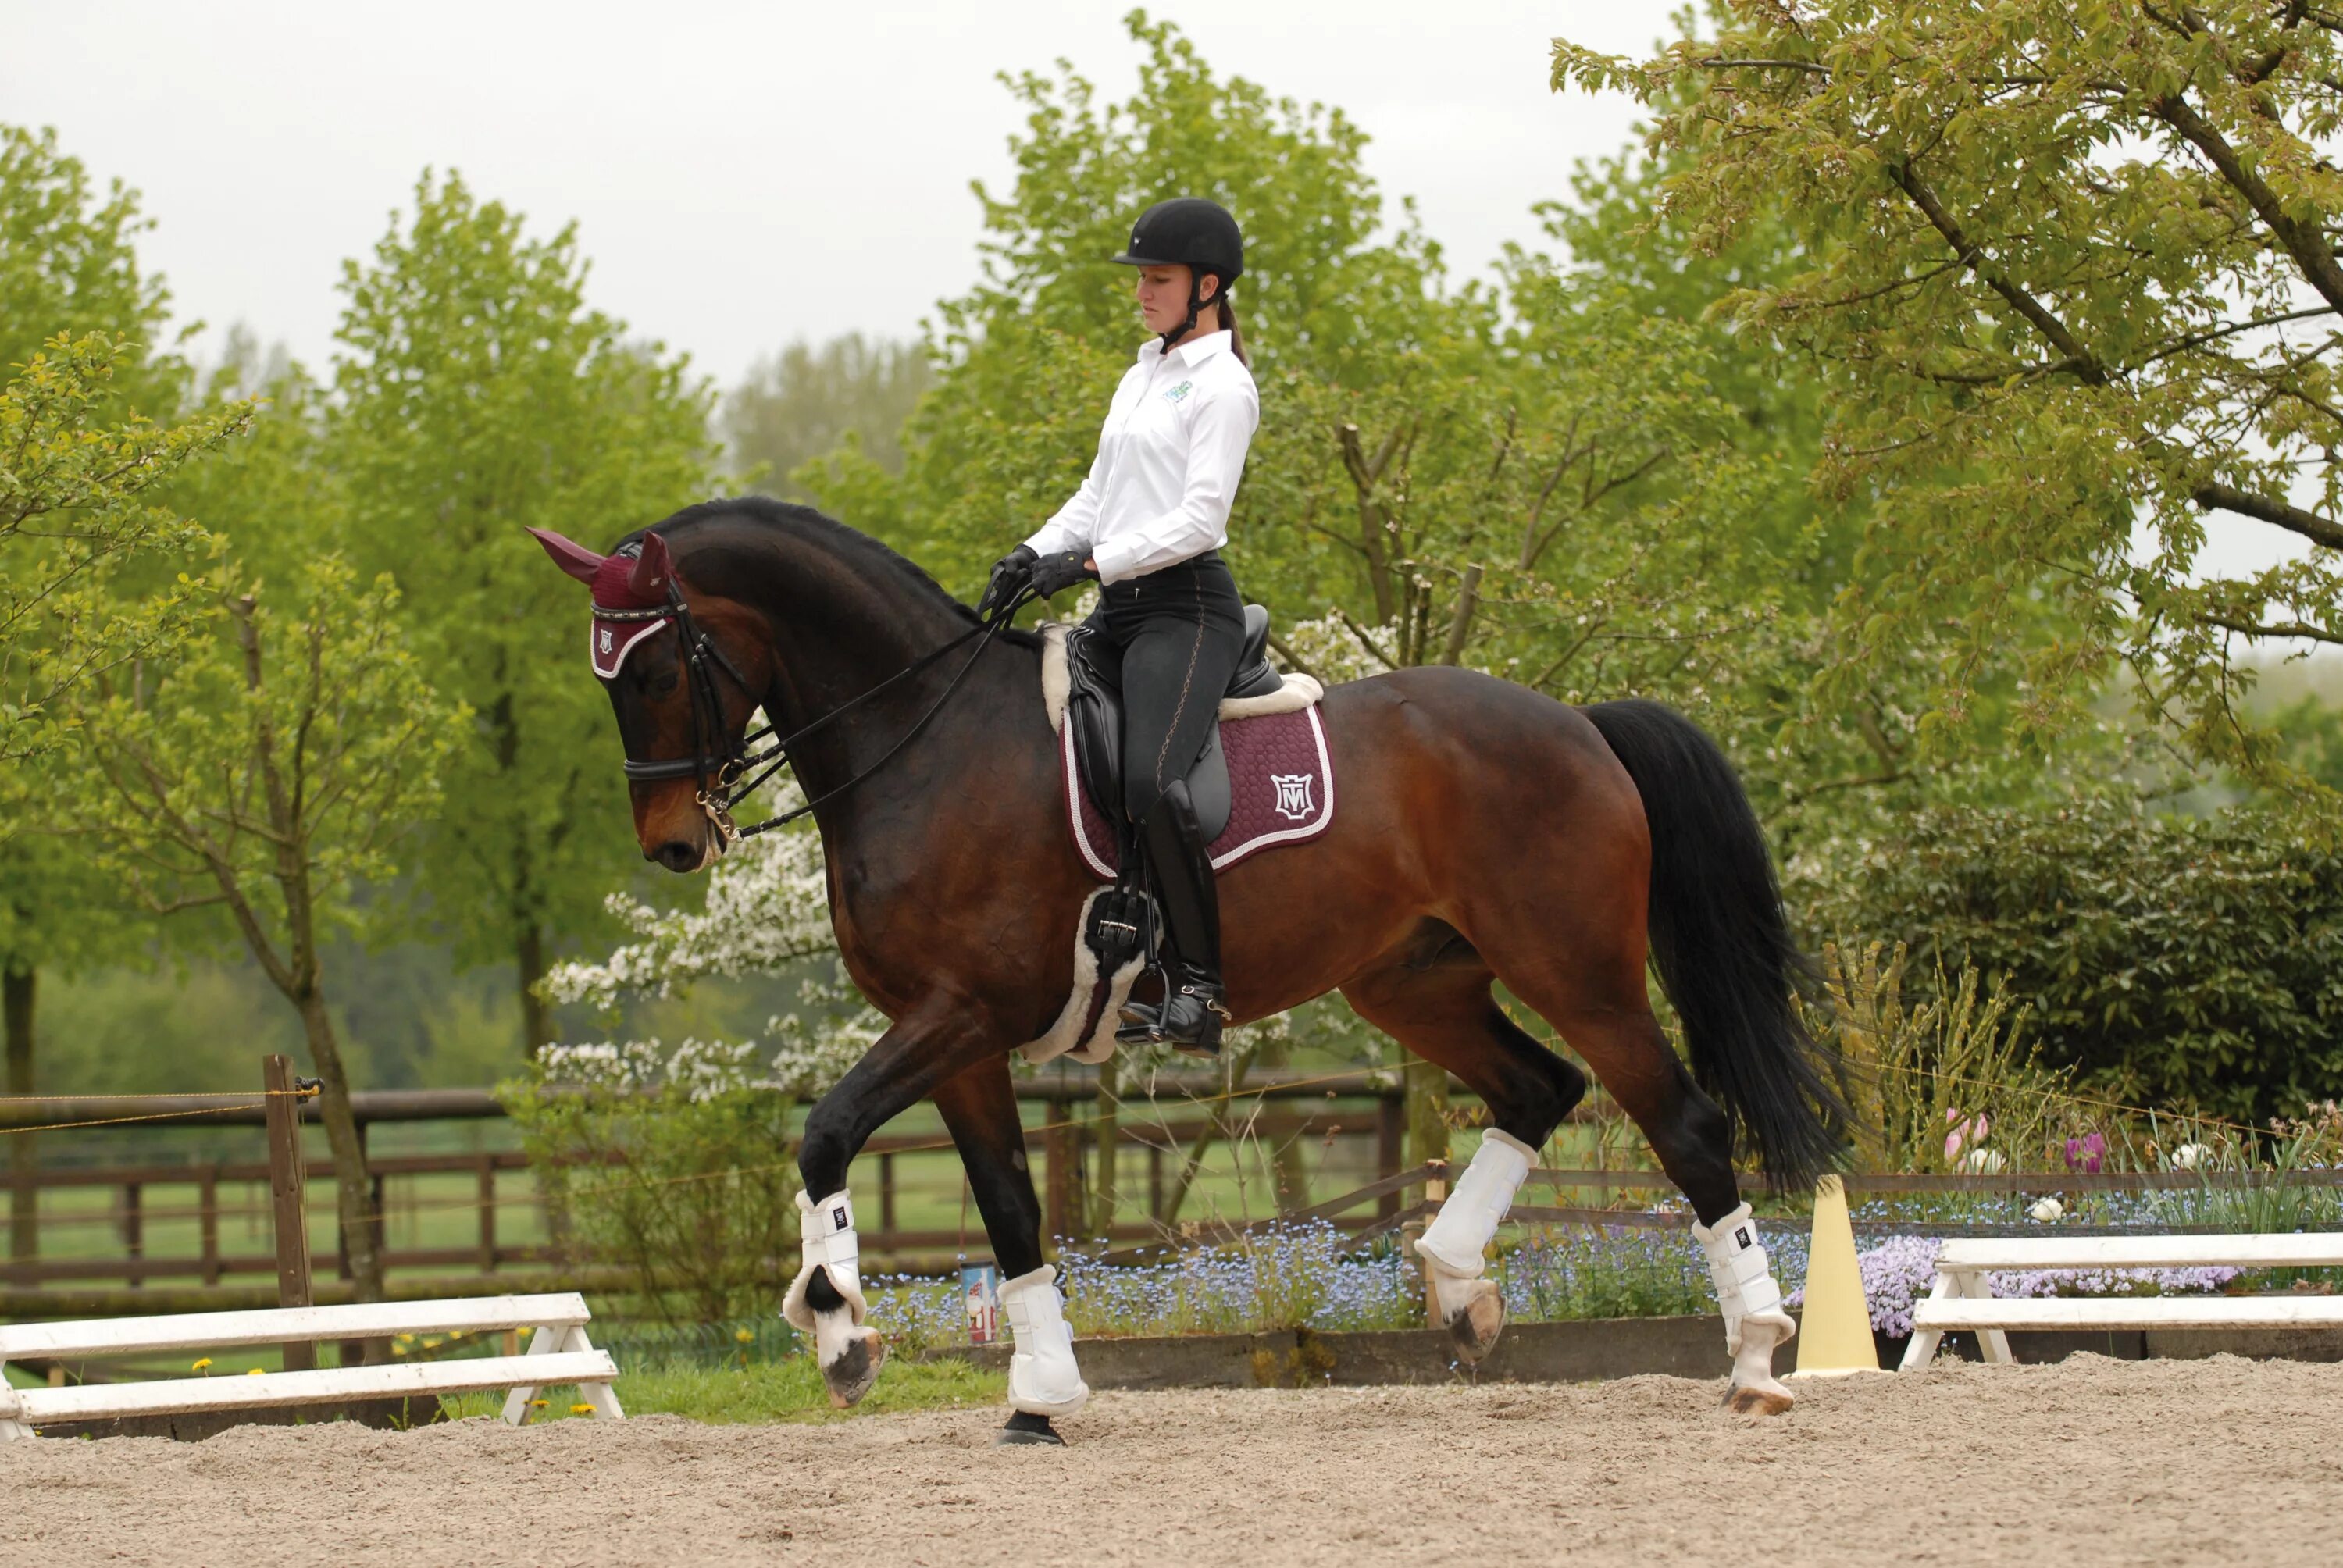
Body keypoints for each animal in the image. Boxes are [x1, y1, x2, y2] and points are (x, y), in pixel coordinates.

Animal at [537, 494, 1846, 1434]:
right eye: (608, 680)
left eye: (654, 670)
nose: (673, 844)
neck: (927, 742)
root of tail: (1579, 723)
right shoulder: (959, 1041)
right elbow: (1010, 1209)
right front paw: (1042, 1397)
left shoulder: (960, 1012)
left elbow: (823, 1133)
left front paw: (840, 1330)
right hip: (1412, 980)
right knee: (1540, 1089)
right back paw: (1457, 1287)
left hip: (1578, 971)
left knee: (1682, 1124)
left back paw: (1756, 1359)